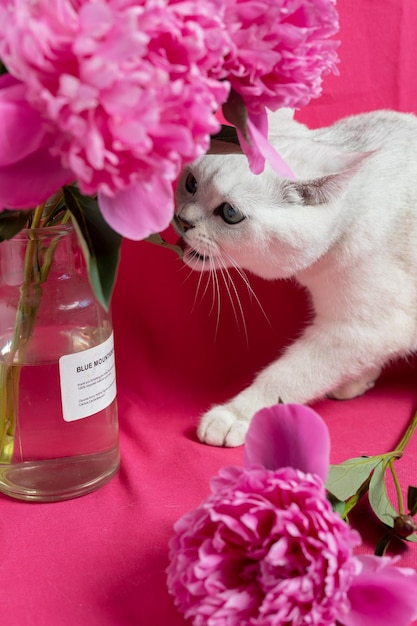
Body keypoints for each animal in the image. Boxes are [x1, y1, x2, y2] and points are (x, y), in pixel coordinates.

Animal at [174, 109, 416, 446]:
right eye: (191, 183)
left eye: (230, 214)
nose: (182, 220)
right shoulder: (364, 329)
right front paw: (358, 379)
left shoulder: (359, 330)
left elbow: (287, 377)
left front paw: (233, 416)